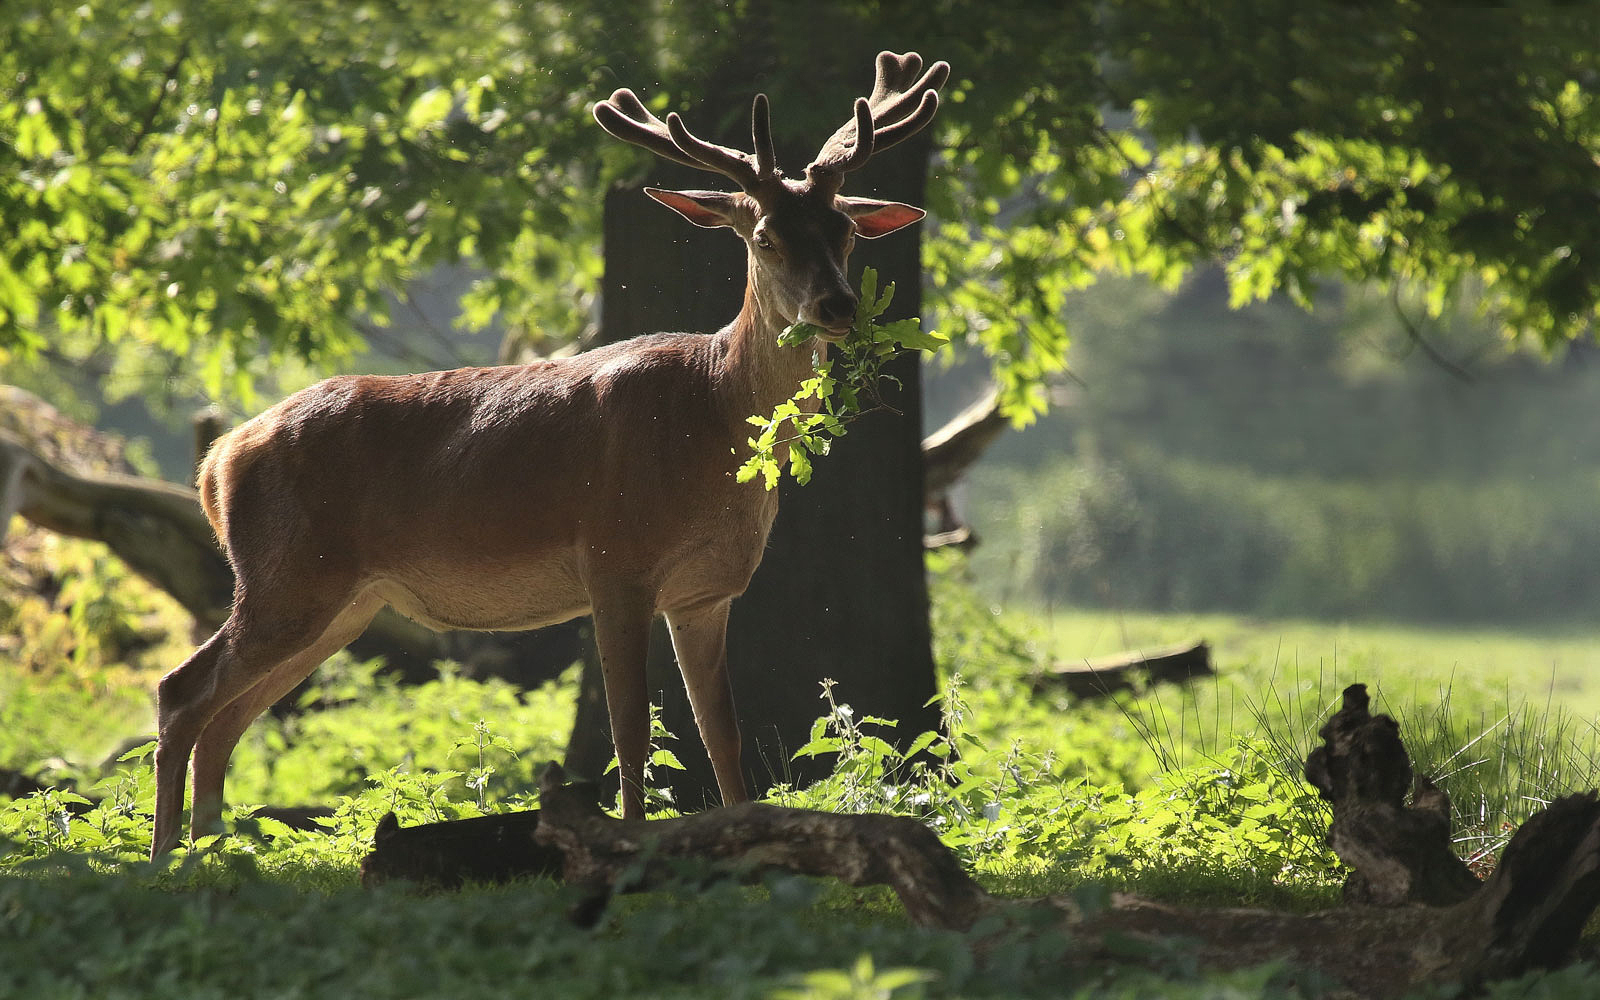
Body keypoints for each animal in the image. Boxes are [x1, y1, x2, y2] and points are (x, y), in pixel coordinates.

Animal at [144, 48, 940, 857]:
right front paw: (627, 847)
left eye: (845, 230)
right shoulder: (615, 561)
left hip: (340, 602)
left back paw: (210, 854)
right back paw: (163, 859)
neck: (711, 416)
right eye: (766, 236)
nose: (838, 306)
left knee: (225, 722)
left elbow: (723, 737)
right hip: (285, 574)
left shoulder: (707, 593)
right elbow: (630, 738)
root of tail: (218, 459)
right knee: (181, 693)